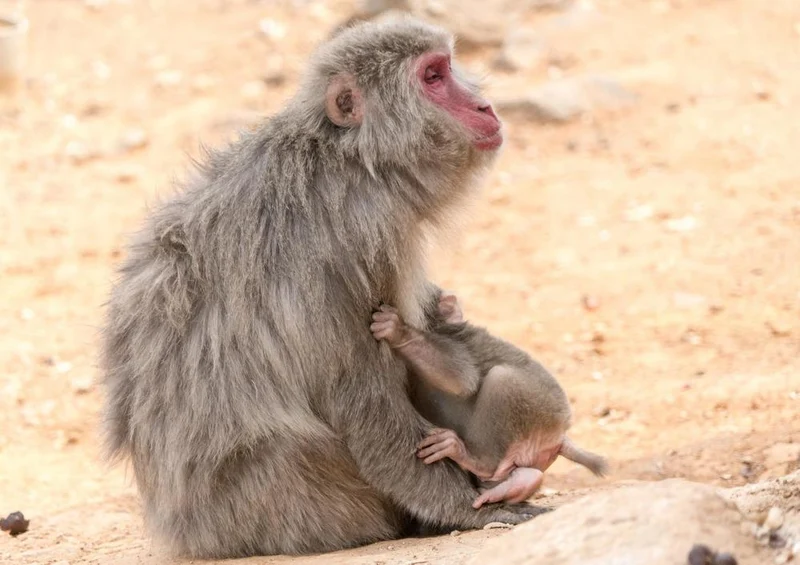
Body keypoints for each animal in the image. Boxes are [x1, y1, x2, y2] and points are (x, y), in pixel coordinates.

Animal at [99, 17, 545, 559]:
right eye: (433, 77)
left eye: (447, 66)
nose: (483, 106)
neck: (351, 157)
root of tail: (191, 532)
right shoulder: (361, 237)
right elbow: (361, 396)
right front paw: (467, 508)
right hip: (306, 508)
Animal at [370, 293, 608, 509]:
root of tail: (560, 436)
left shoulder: (455, 340)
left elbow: (462, 379)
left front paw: (397, 331)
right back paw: (520, 483)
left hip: (543, 408)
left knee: (502, 379)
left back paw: (473, 458)